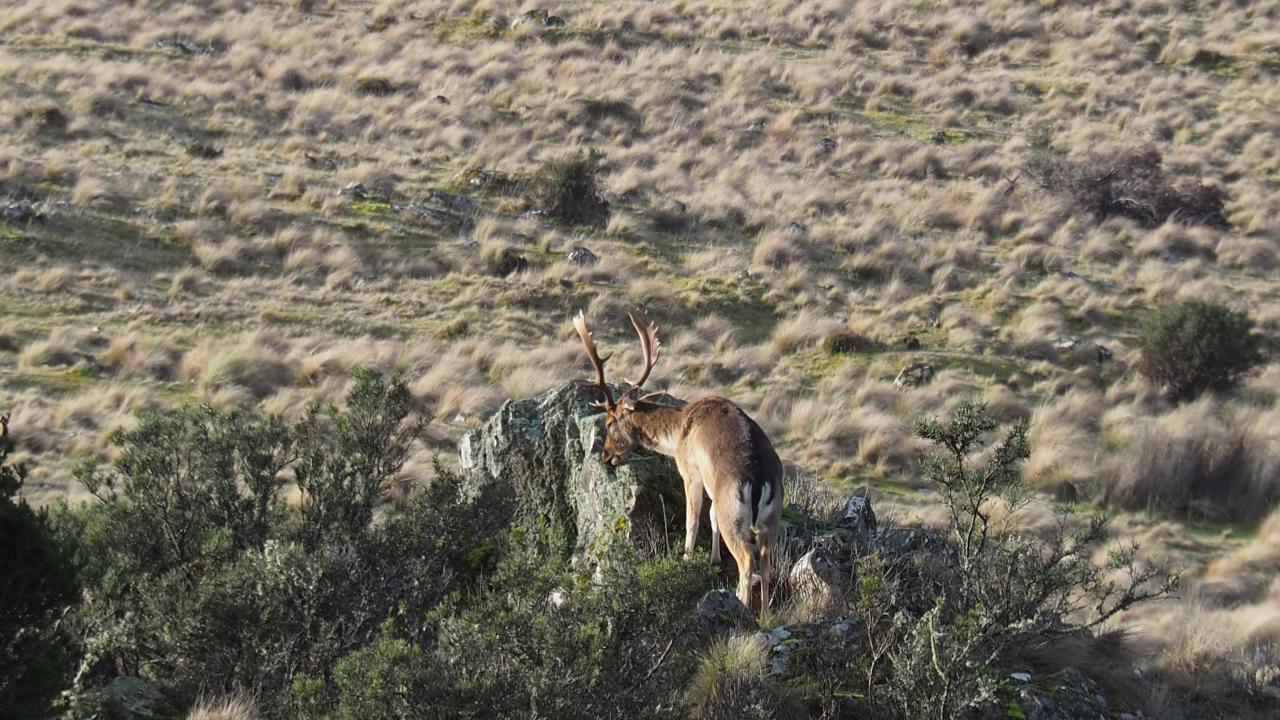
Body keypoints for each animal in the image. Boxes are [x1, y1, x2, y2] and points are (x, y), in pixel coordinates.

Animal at [573, 310, 783, 612]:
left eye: (610, 422)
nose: (605, 455)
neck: (677, 432)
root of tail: (759, 478)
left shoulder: (690, 469)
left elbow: (692, 519)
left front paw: (686, 558)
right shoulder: (710, 484)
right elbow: (710, 515)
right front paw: (713, 559)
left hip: (733, 512)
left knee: (747, 559)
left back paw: (743, 608)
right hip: (771, 516)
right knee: (766, 561)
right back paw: (765, 614)